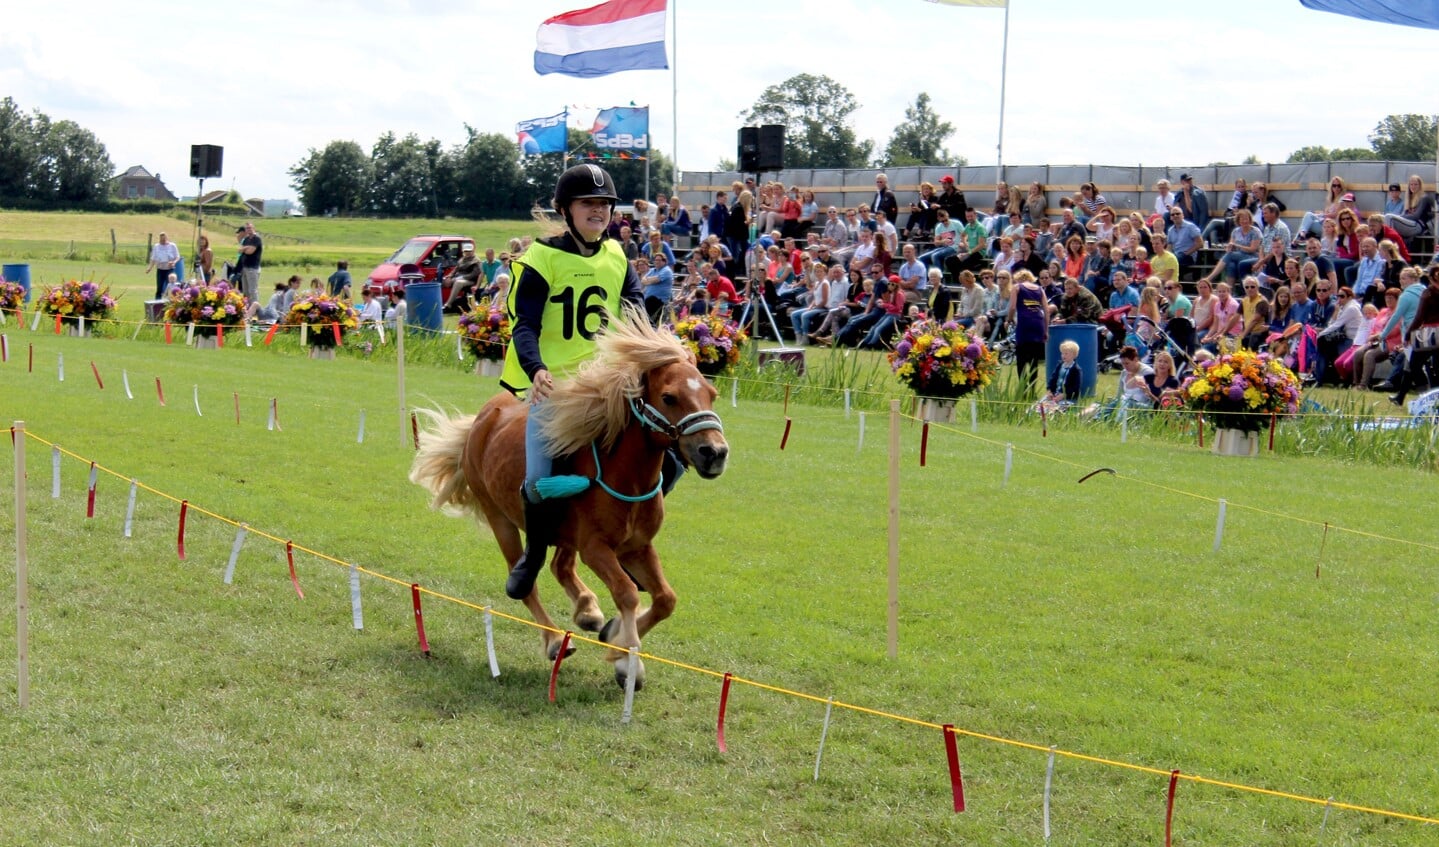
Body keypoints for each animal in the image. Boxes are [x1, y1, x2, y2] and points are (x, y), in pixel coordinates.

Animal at [414, 313, 731, 690]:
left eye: (712, 394)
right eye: (669, 397)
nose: (714, 452)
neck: (624, 475)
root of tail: (482, 419)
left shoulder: (637, 547)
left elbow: (666, 599)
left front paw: (614, 636)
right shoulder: (596, 548)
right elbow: (627, 592)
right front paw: (628, 662)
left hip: (565, 535)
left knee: (560, 567)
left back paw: (588, 610)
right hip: (501, 519)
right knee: (526, 581)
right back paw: (554, 640)